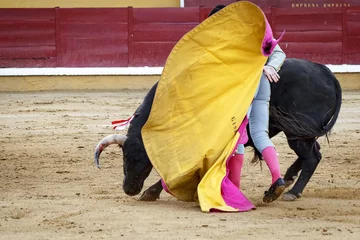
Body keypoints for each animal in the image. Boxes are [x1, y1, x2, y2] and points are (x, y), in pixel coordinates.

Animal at [94, 57, 342, 201]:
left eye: (136, 158)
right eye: (124, 157)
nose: (129, 189)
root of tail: (326, 72)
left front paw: (152, 192)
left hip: (297, 131)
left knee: (312, 157)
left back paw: (290, 192)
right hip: (300, 132)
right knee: (313, 153)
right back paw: (282, 184)